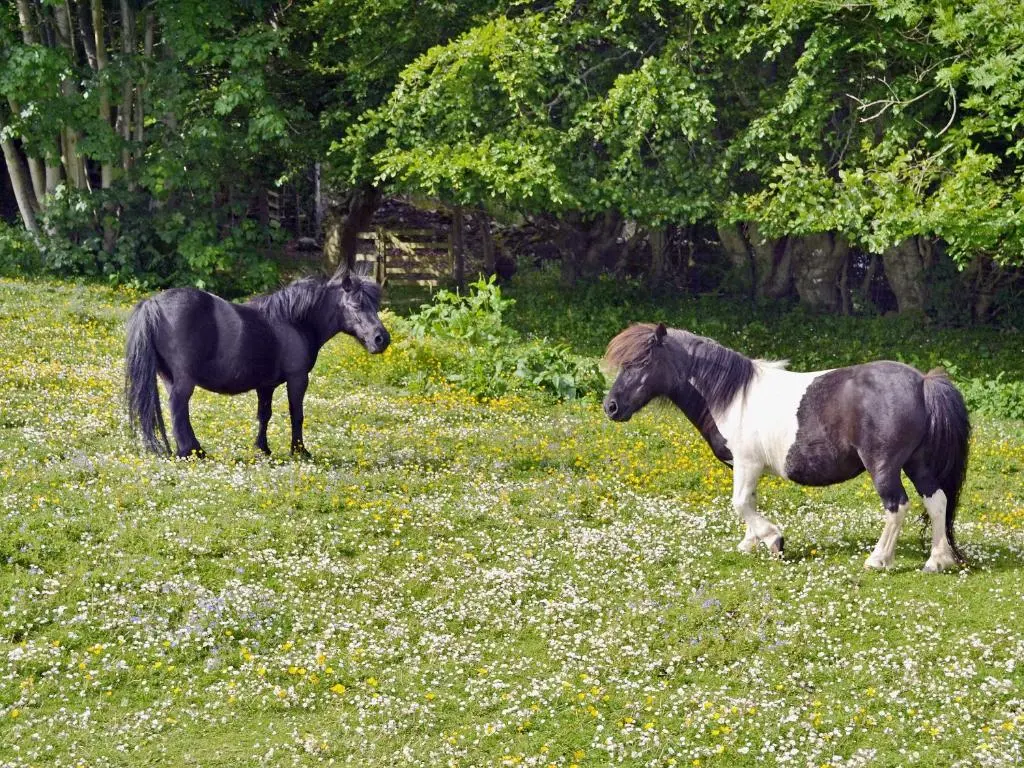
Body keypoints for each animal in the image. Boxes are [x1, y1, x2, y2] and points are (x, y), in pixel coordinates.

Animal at [125, 271, 390, 458]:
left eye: (375, 306)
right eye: (356, 305)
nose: (381, 339)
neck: (293, 321)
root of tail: (153, 304)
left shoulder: (265, 386)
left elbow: (264, 415)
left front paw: (262, 448)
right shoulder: (298, 378)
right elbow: (297, 414)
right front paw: (299, 451)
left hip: (168, 378)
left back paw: (196, 449)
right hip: (183, 381)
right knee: (178, 409)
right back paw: (189, 453)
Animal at [602, 323, 970, 572]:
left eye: (641, 362)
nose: (611, 407)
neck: (732, 395)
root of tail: (922, 382)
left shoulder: (747, 463)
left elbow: (740, 503)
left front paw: (774, 540)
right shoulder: (747, 468)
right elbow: (748, 502)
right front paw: (750, 542)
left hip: (884, 467)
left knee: (897, 506)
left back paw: (878, 559)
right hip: (917, 463)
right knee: (937, 500)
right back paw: (938, 560)